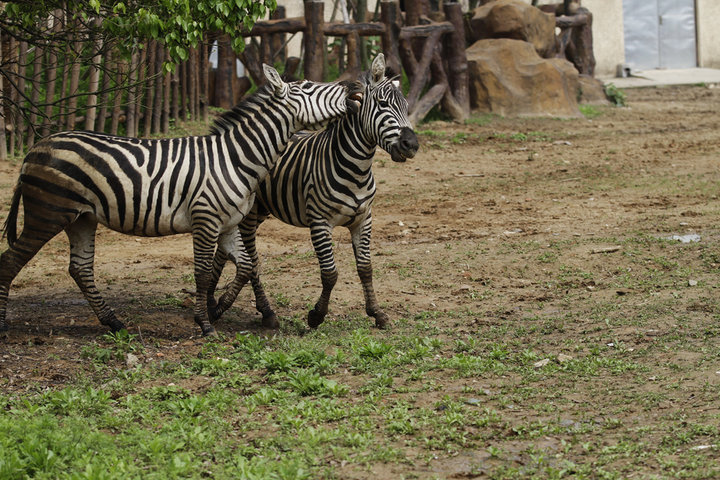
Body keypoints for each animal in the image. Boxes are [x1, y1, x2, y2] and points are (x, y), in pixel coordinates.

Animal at [0, 64, 360, 338]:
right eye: (310, 87)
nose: (353, 89)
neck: (236, 158)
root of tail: (36, 147)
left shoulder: (228, 225)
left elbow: (245, 266)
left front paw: (219, 308)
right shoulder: (205, 220)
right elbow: (202, 273)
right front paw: (205, 324)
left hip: (81, 218)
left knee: (80, 268)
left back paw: (114, 322)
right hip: (47, 214)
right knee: (10, 262)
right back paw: (4, 326)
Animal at [205, 52, 420, 330]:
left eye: (406, 106)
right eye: (382, 104)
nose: (411, 145)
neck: (357, 169)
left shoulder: (364, 219)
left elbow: (366, 268)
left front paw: (377, 313)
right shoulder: (319, 222)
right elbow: (330, 273)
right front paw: (316, 315)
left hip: (258, 210)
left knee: (224, 252)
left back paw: (212, 300)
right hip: (249, 216)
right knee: (252, 262)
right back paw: (264, 312)